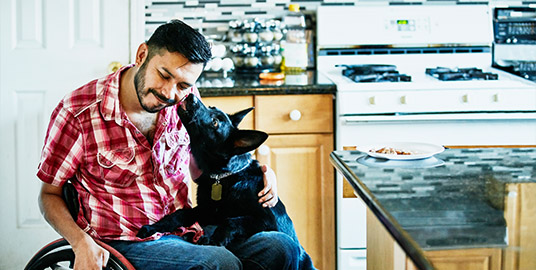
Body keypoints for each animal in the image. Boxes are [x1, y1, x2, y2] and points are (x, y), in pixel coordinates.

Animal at [136, 94, 316, 268]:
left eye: (215, 123)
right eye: (212, 107)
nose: (191, 96)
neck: (222, 178)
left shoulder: (265, 219)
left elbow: (231, 221)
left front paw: (214, 240)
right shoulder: (206, 211)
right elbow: (180, 214)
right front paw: (153, 228)